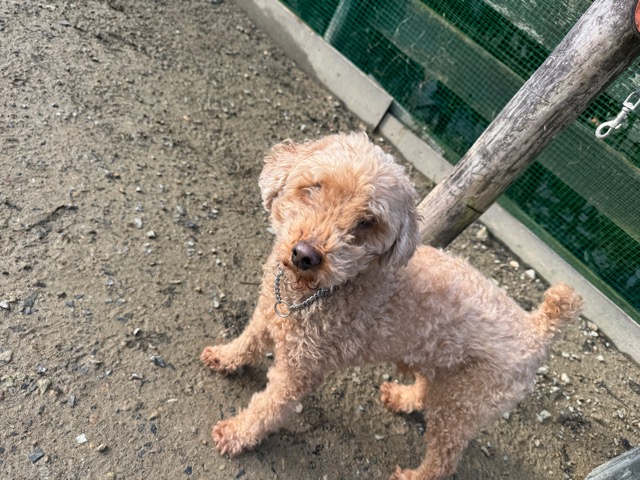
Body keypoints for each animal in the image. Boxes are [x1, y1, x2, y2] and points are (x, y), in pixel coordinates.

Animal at [201, 132, 582, 479]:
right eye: (314, 187)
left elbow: (269, 406)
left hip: (466, 403)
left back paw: (414, 475)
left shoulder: (301, 368)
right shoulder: (269, 312)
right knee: (427, 390)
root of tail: (537, 328)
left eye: (366, 222)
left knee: (445, 458)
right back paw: (402, 397)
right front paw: (224, 357)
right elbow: (249, 340)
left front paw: (236, 434)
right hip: (445, 369)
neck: (315, 292)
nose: (306, 255)